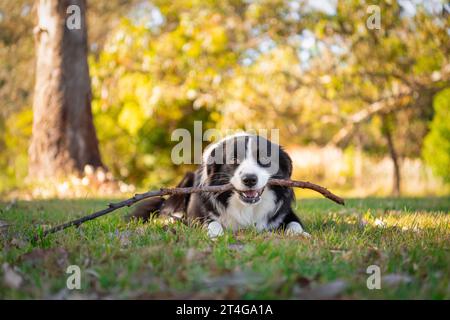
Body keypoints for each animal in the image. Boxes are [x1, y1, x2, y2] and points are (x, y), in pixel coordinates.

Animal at [128, 133, 308, 238]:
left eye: (265, 159)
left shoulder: (284, 213)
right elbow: (211, 222)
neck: (246, 207)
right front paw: (216, 234)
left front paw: (300, 235)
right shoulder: (197, 216)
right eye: (234, 160)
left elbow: (295, 224)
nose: (249, 179)